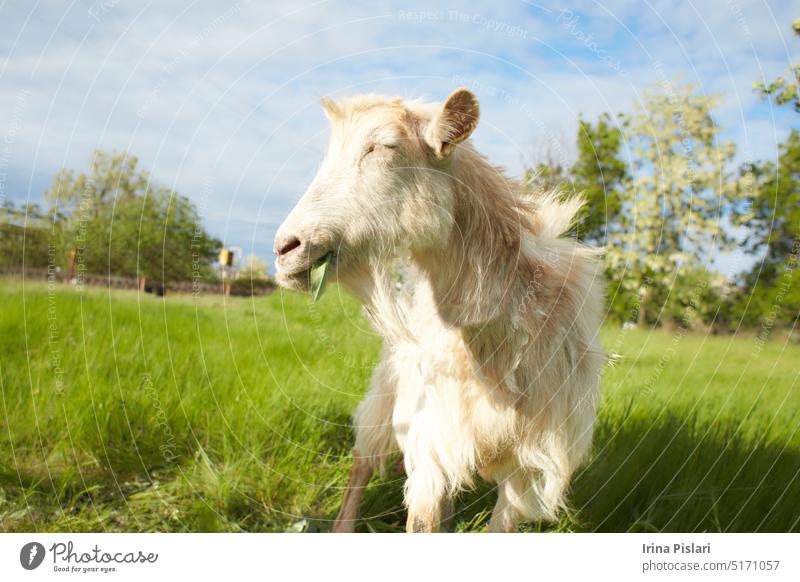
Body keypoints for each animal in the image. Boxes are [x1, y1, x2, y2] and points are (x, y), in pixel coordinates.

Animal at [272, 88, 604, 532]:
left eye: (384, 147)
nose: (285, 248)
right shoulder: (429, 437)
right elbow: (421, 520)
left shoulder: (530, 460)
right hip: (389, 392)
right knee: (363, 458)